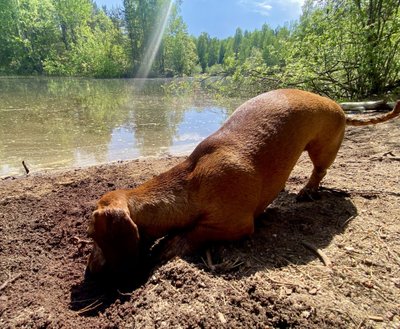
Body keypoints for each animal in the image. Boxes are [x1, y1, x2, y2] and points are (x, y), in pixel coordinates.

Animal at [86, 88, 398, 272]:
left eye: (92, 234)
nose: (88, 270)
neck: (191, 184)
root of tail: (339, 106)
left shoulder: (236, 225)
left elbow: (196, 232)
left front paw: (171, 245)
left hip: (323, 148)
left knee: (319, 172)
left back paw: (307, 190)